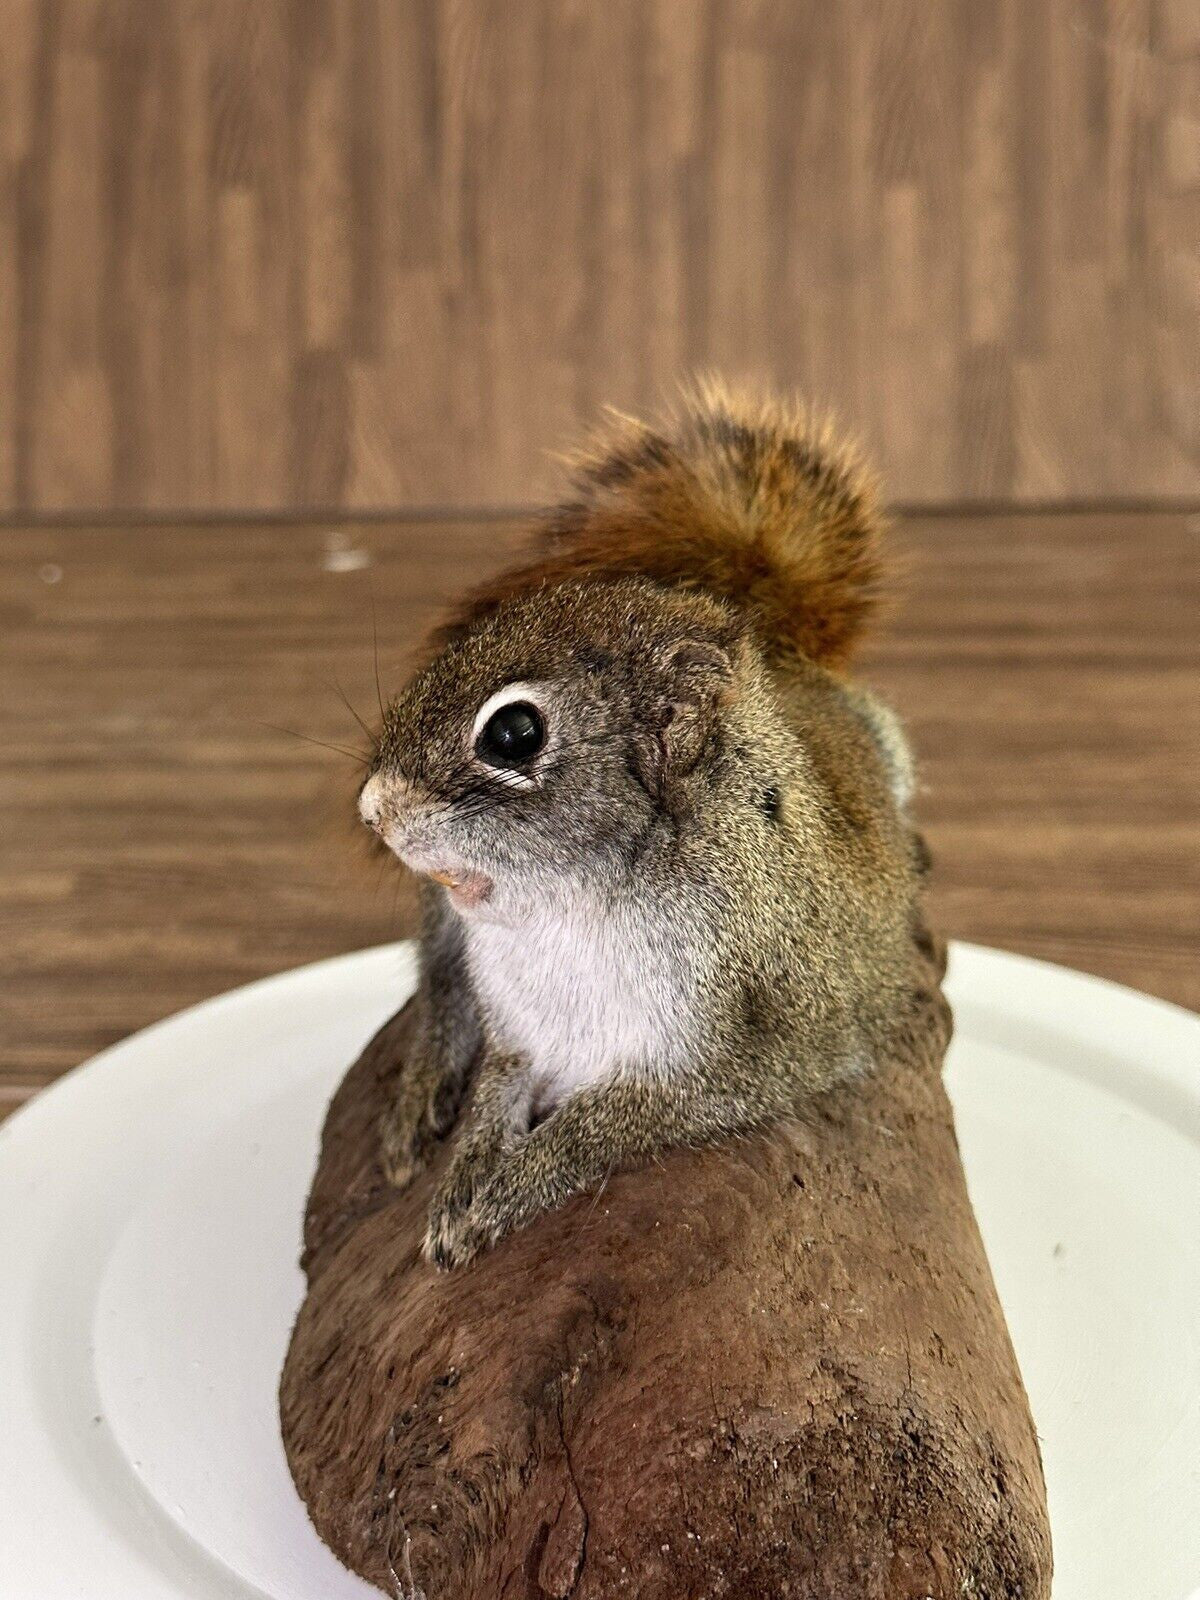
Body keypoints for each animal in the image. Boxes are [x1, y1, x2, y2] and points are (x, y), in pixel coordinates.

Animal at [358, 383, 927, 1270]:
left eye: (514, 733)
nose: (374, 809)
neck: (568, 909)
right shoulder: (518, 1029)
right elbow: (494, 1090)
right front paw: (466, 1174)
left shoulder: (740, 1053)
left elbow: (605, 1123)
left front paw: (509, 1190)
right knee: (440, 987)